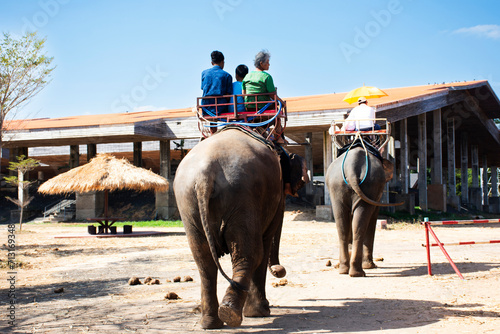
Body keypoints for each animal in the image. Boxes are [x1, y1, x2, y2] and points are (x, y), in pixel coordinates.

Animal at [173, 128, 308, 328]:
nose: (280, 270)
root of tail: (205, 175)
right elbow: (265, 243)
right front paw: (260, 313)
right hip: (242, 195)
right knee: (252, 254)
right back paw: (233, 313)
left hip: (188, 204)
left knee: (204, 260)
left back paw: (212, 322)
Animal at [324, 142, 402, 278]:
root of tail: (351, 167)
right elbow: (373, 218)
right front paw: (371, 266)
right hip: (368, 186)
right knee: (361, 222)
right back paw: (361, 270)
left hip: (338, 187)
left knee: (343, 226)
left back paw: (346, 270)